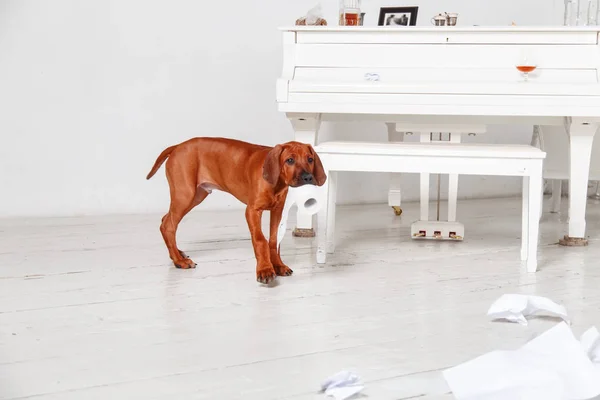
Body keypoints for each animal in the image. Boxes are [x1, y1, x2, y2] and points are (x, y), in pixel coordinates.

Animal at [146, 138, 326, 284]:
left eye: (310, 159)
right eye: (289, 160)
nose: (308, 177)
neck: (276, 182)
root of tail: (177, 146)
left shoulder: (277, 211)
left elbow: (274, 240)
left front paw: (278, 265)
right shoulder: (252, 211)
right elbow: (260, 240)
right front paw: (265, 270)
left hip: (196, 195)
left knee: (165, 219)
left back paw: (177, 254)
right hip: (185, 194)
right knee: (168, 225)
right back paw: (179, 261)